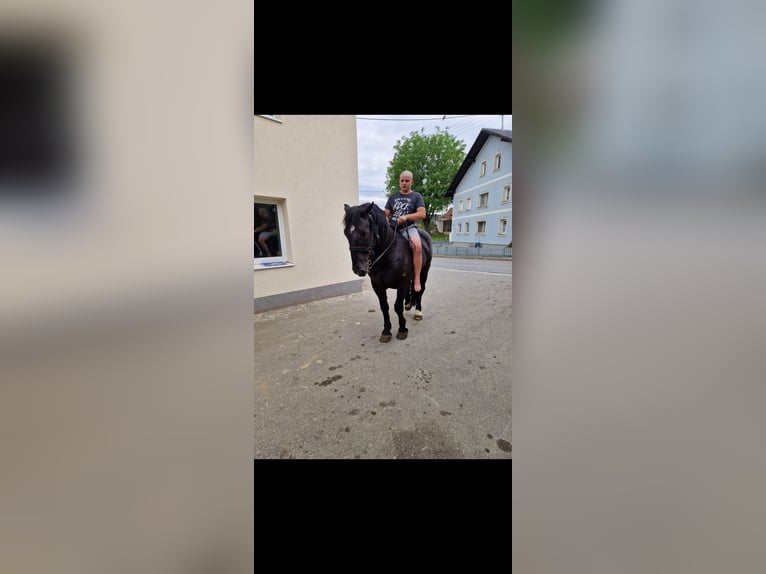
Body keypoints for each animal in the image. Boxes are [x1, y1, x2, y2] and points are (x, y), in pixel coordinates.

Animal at [343, 202, 433, 343]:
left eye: (364, 232)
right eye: (346, 233)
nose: (358, 269)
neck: (388, 255)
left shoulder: (402, 283)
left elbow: (397, 306)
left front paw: (402, 329)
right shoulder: (377, 285)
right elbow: (384, 306)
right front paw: (386, 331)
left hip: (424, 271)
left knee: (420, 289)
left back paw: (418, 311)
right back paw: (408, 303)